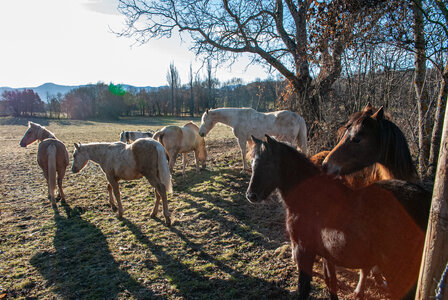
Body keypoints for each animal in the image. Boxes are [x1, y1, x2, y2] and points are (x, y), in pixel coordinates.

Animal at [248, 135, 430, 300]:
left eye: (268, 163)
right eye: (252, 164)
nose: (251, 195)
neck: (310, 197)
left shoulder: (303, 250)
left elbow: (304, 287)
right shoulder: (326, 255)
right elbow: (331, 283)